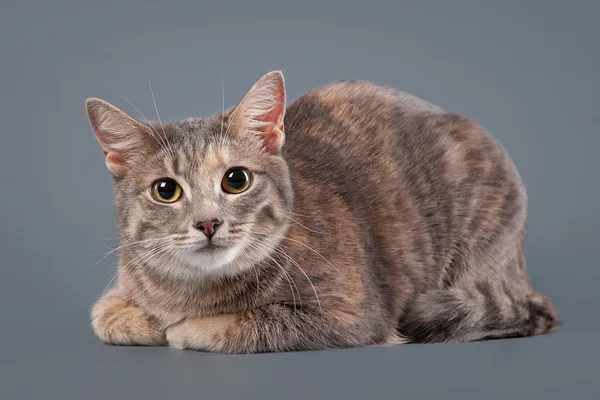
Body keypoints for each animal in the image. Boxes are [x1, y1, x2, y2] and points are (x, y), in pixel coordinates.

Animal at [86, 70, 560, 352]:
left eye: (236, 180)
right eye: (166, 190)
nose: (208, 222)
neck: (190, 291)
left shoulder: (350, 316)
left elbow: (246, 324)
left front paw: (184, 329)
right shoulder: (121, 288)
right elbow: (105, 315)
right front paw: (149, 322)